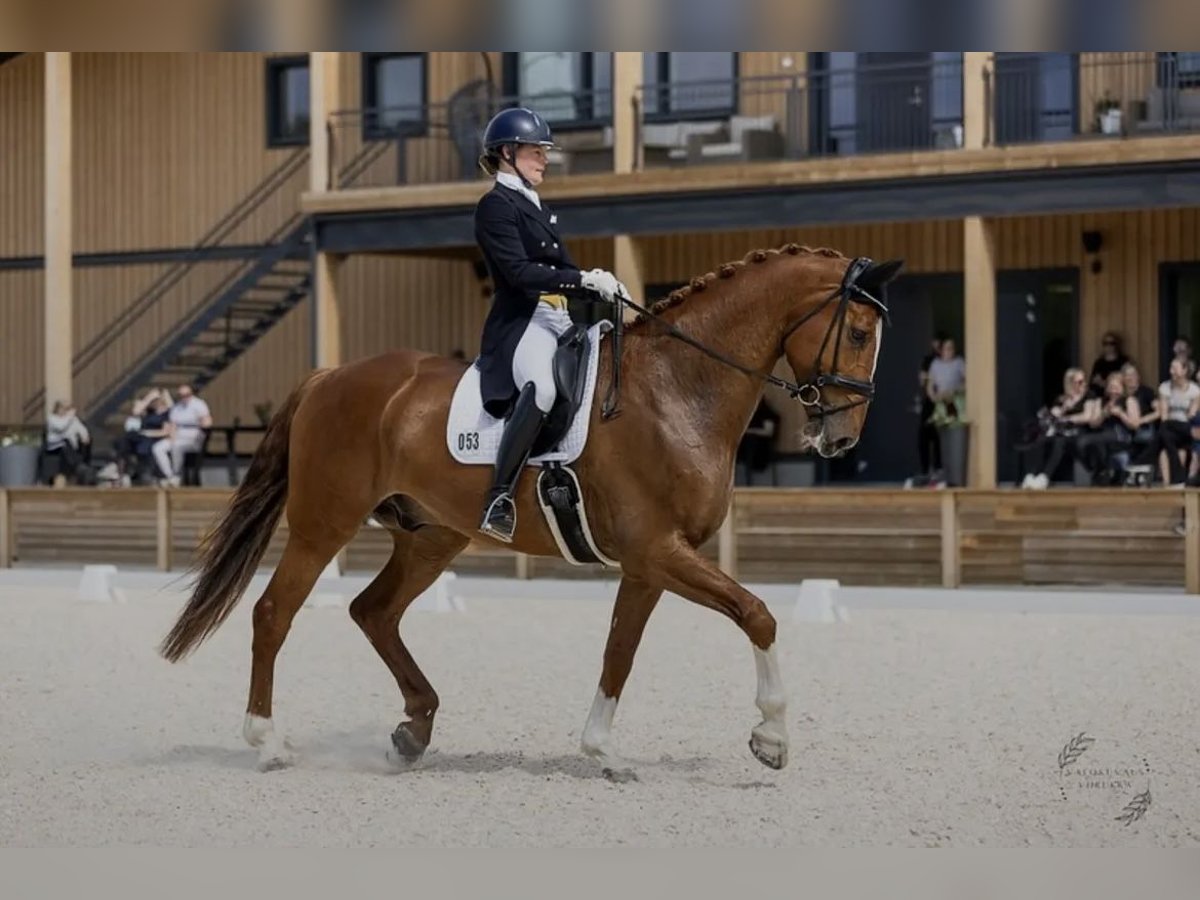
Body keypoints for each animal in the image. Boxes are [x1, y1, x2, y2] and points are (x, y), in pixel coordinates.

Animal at [158, 242, 902, 777]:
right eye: (859, 334)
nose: (841, 438)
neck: (676, 392)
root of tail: (328, 376)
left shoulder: (648, 563)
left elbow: (619, 653)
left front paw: (602, 750)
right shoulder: (658, 551)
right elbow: (758, 613)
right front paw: (772, 737)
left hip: (432, 536)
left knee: (373, 611)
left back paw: (413, 730)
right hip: (324, 525)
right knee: (273, 613)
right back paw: (268, 743)